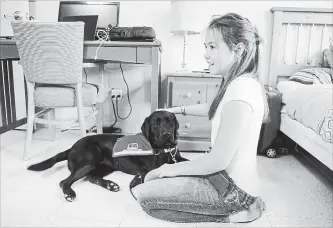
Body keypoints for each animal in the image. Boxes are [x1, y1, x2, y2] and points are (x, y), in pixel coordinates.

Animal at [27, 110, 188, 201]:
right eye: (155, 124)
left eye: (170, 121)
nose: (167, 134)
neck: (165, 149)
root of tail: (72, 147)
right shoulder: (149, 169)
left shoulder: (178, 158)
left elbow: (186, 161)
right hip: (90, 160)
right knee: (64, 181)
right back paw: (69, 193)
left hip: (106, 166)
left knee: (92, 178)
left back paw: (110, 185)